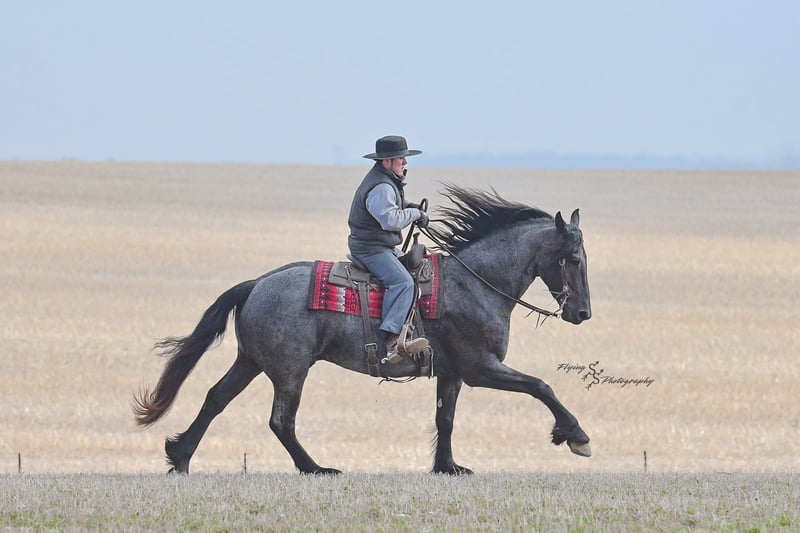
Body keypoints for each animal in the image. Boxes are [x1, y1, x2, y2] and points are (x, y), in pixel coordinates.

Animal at [133, 185, 592, 475]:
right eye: (572, 258)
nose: (583, 313)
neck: (474, 282)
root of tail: (256, 283)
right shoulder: (481, 368)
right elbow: (541, 386)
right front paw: (576, 435)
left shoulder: (452, 373)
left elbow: (445, 419)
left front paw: (447, 467)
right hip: (289, 370)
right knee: (281, 421)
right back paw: (316, 469)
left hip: (251, 361)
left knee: (216, 399)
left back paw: (180, 457)